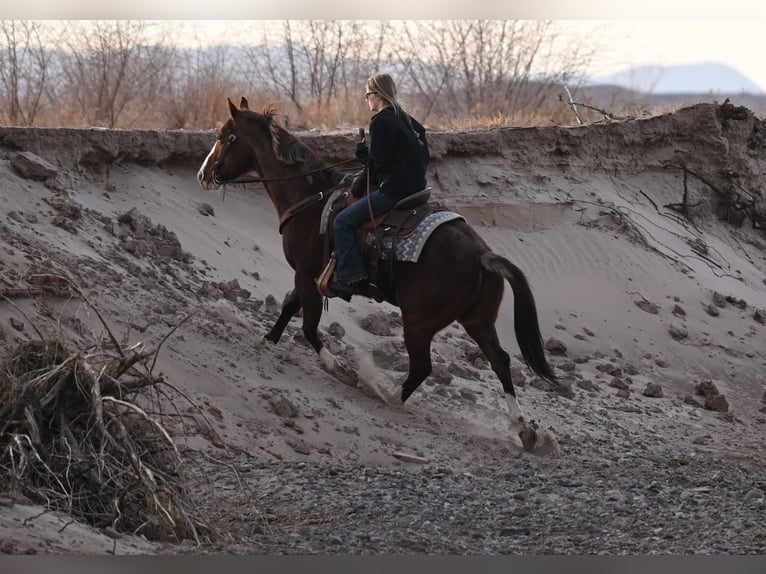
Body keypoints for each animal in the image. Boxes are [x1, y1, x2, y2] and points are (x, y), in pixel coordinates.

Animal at [195, 97, 560, 454]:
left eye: (226, 137)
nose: (203, 173)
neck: (310, 200)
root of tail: (483, 255)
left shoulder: (306, 274)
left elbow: (309, 327)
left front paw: (339, 368)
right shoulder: (308, 277)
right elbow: (288, 308)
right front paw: (267, 339)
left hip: (419, 322)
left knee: (422, 367)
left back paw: (387, 395)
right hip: (477, 321)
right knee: (500, 361)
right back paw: (524, 429)